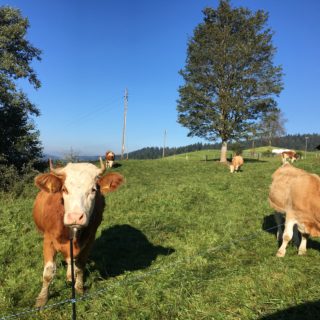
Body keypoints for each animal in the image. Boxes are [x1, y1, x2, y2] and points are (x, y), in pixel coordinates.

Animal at [31, 159, 124, 306]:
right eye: (64, 189)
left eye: (93, 189)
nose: (75, 217)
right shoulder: (48, 240)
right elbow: (48, 273)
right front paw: (42, 299)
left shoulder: (89, 240)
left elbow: (80, 266)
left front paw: (79, 289)